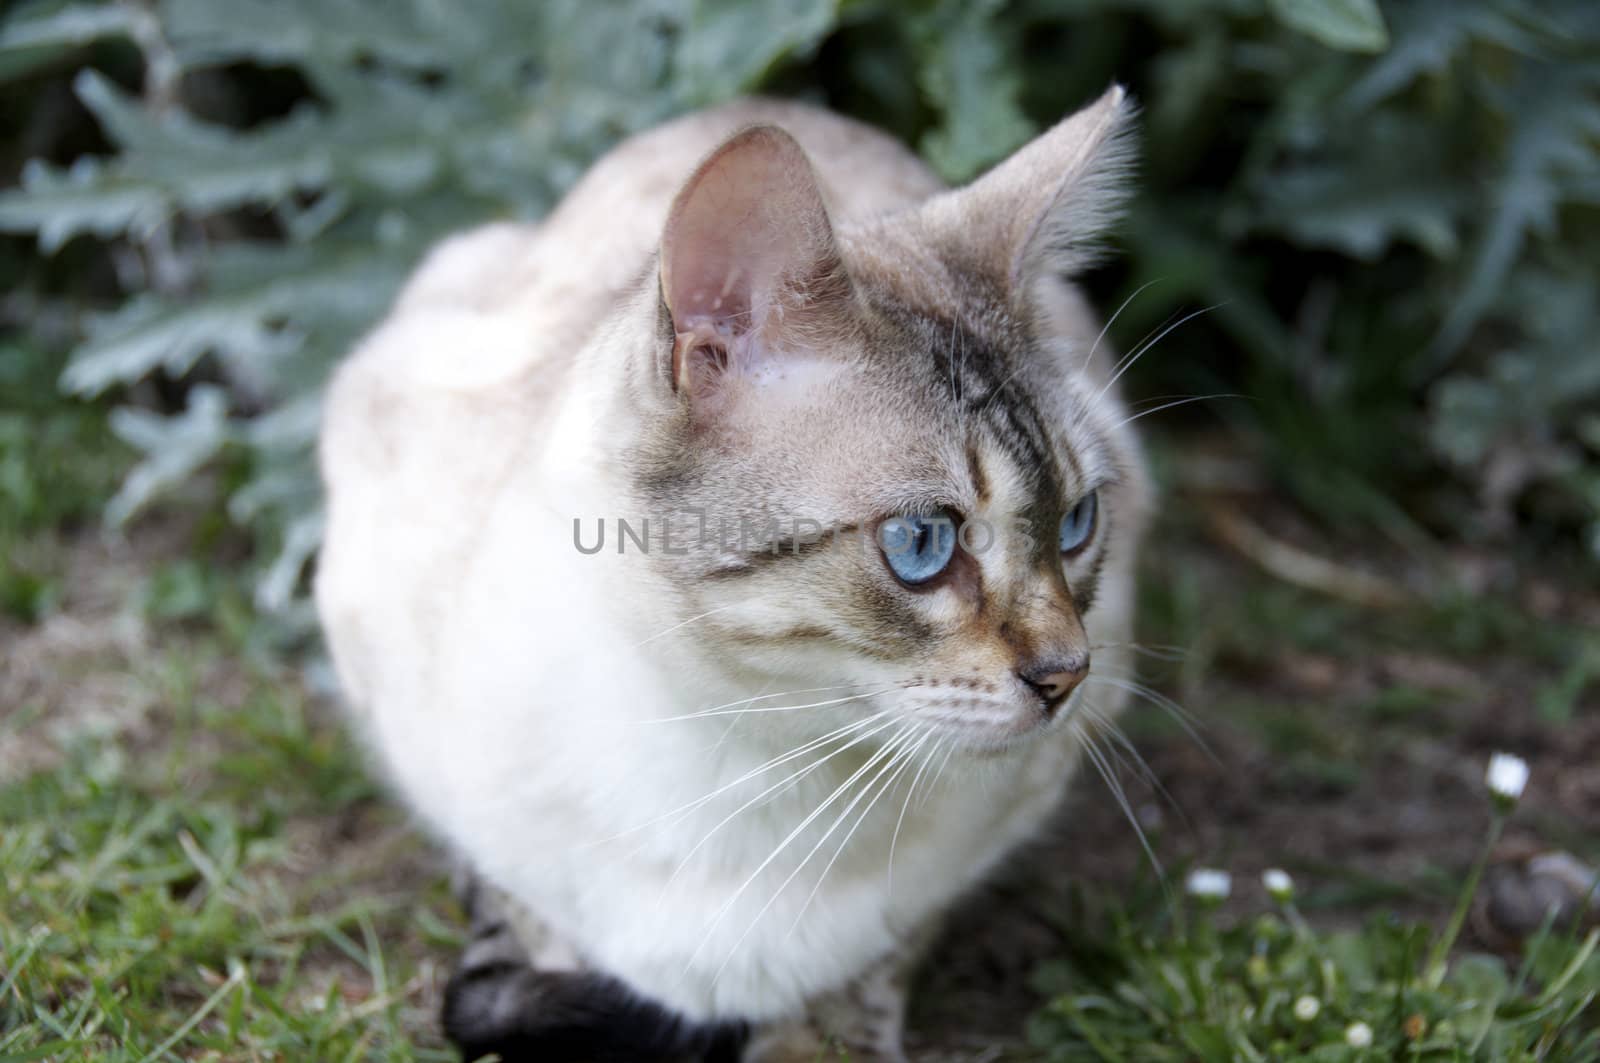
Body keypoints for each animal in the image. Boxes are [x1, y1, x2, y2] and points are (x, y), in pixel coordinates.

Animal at [318, 87, 1152, 1056]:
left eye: (1077, 522)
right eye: (922, 542)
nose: (1067, 675)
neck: (750, 741)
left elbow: (867, 967)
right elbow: (531, 912)